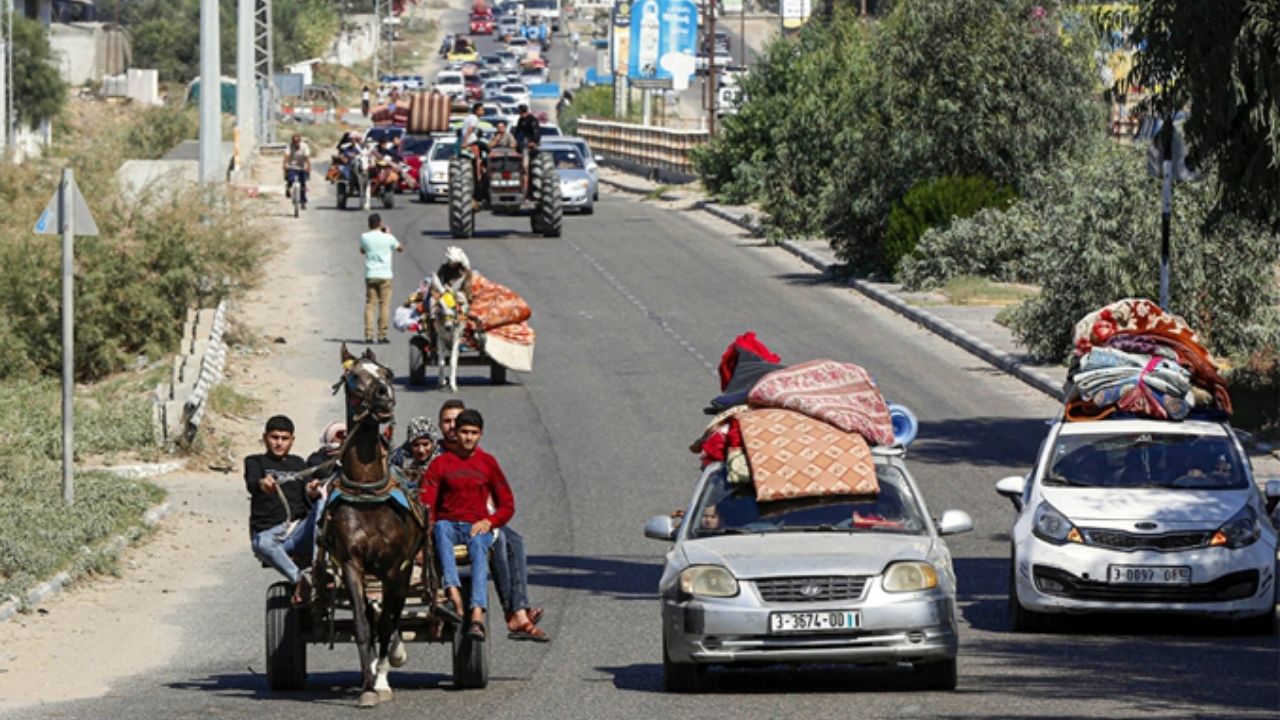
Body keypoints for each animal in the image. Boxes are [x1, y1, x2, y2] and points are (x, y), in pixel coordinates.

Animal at [318, 343, 424, 707]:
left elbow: (388, 623)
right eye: (353, 377)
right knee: (374, 612)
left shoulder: (394, 567)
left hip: (403, 572)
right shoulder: (352, 564)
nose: (384, 394)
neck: (367, 493)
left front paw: (381, 678)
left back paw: (390, 661)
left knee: (394, 613)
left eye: (388, 373)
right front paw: (366, 686)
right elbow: (363, 624)